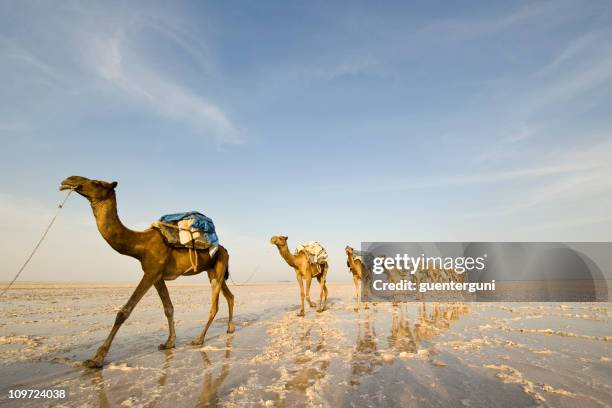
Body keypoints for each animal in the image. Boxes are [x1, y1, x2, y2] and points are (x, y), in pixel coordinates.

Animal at [59, 177, 235, 368]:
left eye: (97, 183)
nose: (68, 180)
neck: (140, 245)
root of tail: (224, 249)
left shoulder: (151, 273)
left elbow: (124, 312)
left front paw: (96, 358)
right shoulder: (157, 276)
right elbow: (168, 308)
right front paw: (169, 342)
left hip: (218, 266)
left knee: (214, 306)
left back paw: (198, 339)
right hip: (213, 271)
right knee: (229, 296)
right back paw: (230, 328)